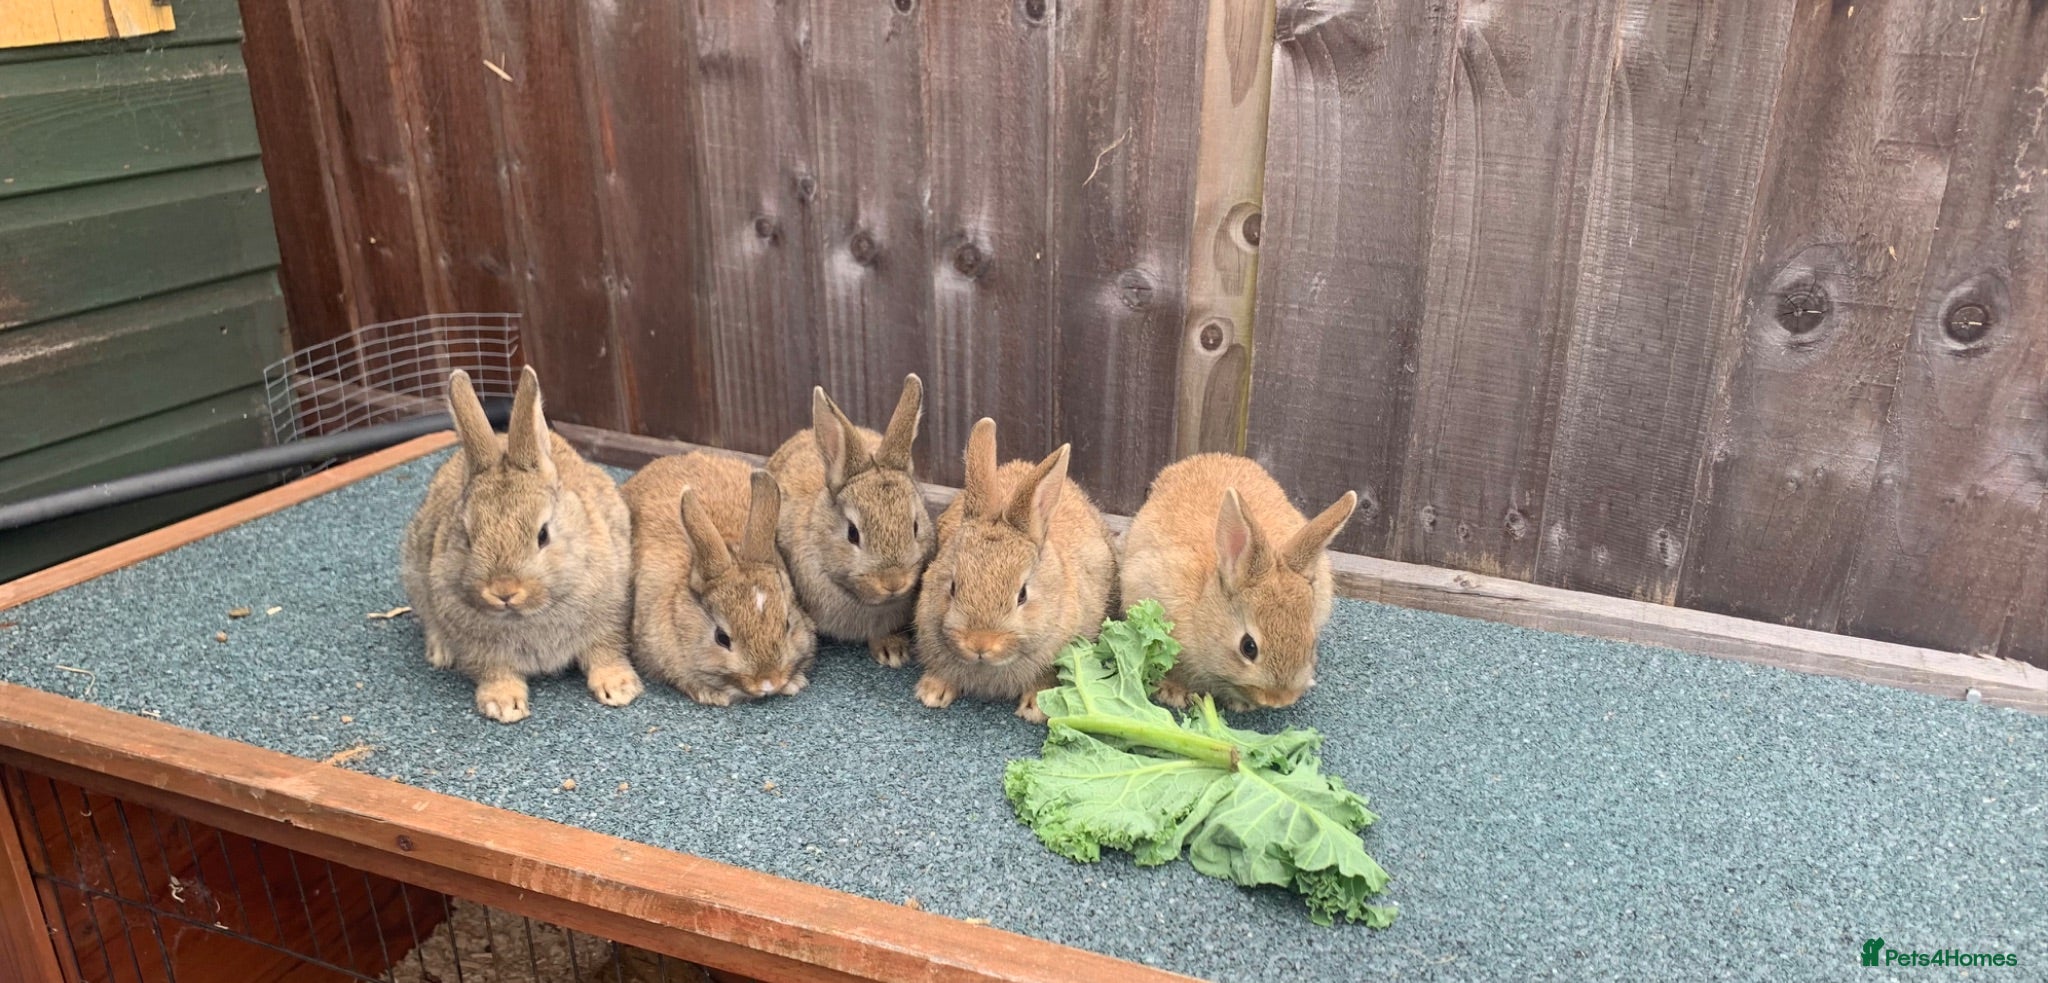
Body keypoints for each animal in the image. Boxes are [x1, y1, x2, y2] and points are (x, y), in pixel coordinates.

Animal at [399, 366, 644, 724]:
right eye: (467, 537)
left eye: (542, 535)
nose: (503, 591)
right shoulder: (478, 647)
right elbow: (494, 670)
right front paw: (503, 705)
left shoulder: (609, 615)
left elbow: (605, 651)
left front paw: (619, 688)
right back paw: (440, 652)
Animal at [624, 451, 817, 705]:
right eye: (721, 638)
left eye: (787, 625)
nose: (768, 683)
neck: (730, 545)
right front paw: (713, 696)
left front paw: (794, 684)